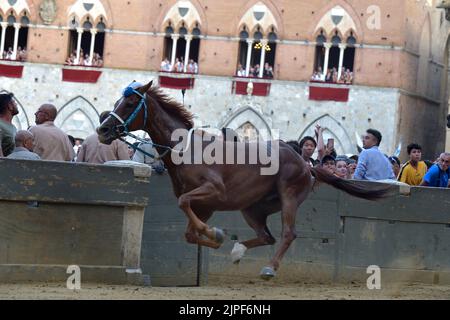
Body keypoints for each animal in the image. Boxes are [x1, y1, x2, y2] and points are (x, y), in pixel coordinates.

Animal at [97, 81, 390, 278]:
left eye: (130, 103)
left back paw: (269, 268)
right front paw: (216, 237)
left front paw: (215, 233)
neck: (186, 149)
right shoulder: (206, 205)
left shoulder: (213, 191)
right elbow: (190, 232)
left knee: (287, 234)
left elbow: (184, 204)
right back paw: (238, 251)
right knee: (266, 236)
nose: (103, 129)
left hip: (289, 196)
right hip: (253, 207)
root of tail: (307, 164)